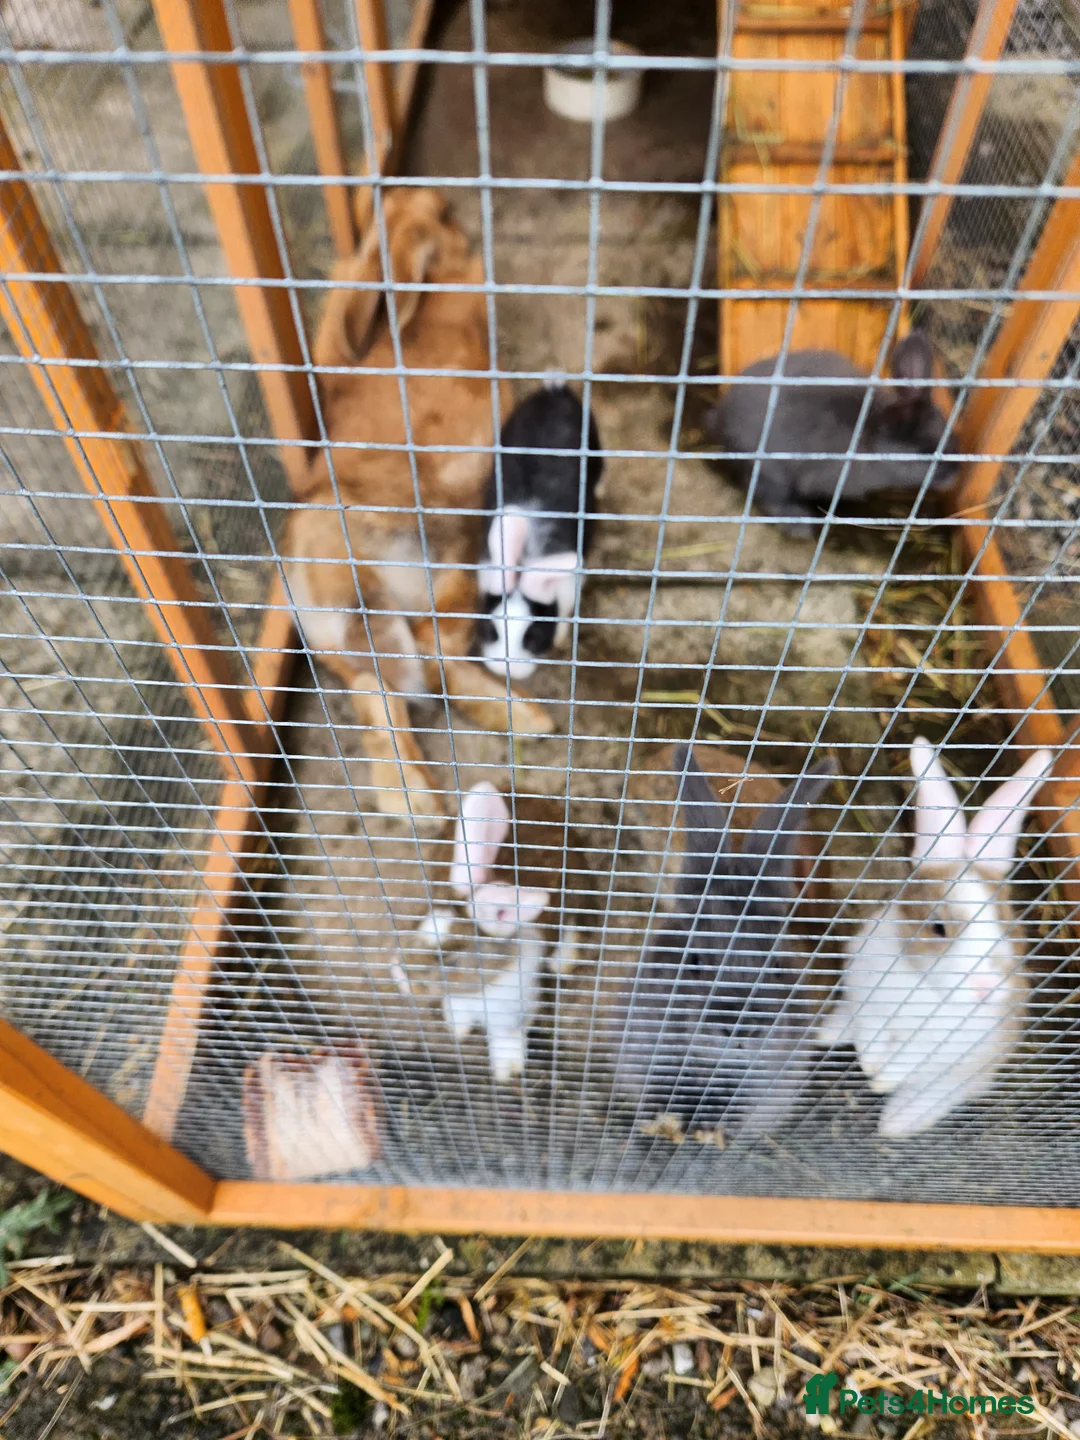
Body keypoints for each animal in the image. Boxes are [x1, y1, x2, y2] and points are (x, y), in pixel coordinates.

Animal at [393, 781, 598, 1082]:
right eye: (417, 920)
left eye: (449, 960)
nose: (400, 976)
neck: (479, 992)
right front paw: (458, 1030)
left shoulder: (515, 1013)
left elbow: (506, 1037)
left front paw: (507, 1071)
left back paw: (563, 961)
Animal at [476, 380, 604, 680]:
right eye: (489, 630)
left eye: (533, 638)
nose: (504, 670)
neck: (525, 558)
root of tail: (554, 391)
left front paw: (559, 638)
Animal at [704, 331, 957, 536]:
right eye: (925, 451)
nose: (956, 474)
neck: (872, 438)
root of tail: (720, 417)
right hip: (770, 474)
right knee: (769, 496)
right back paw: (799, 525)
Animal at [815, 738, 1054, 1138]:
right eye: (938, 928)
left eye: (1009, 927)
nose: (985, 988)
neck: (923, 985)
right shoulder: (868, 1001)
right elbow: (870, 1037)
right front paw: (871, 1067)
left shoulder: (942, 1045)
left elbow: (906, 1062)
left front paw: (880, 1080)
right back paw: (827, 1033)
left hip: (959, 1078)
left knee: (936, 1095)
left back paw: (896, 1123)